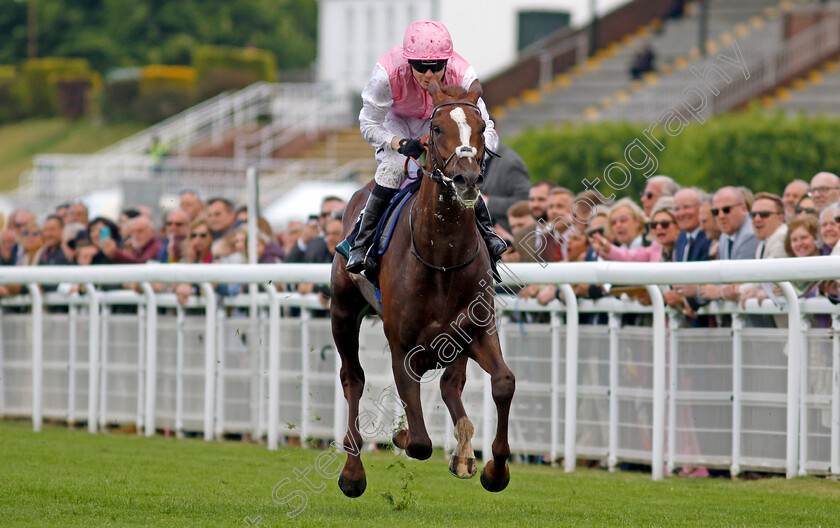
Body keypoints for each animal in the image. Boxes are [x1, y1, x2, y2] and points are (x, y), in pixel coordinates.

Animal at [330, 80, 516, 498]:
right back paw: (352, 472)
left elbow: (503, 383)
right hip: (342, 311)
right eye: (436, 128)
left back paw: (463, 454)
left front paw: (495, 470)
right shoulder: (402, 344)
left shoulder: (477, 329)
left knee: (451, 384)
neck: (442, 256)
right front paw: (399, 436)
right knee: (353, 379)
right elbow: (418, 441)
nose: (467, 179)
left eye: (482, 128)